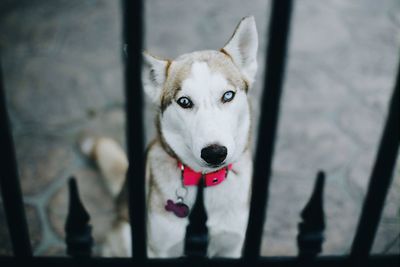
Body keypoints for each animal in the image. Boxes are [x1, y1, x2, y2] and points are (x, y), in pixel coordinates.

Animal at [80, 15, 260, 258]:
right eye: (184, 101)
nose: (215, 153)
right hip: (126, 235)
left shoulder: (231, 247)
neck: (203, 184)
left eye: (228, 95)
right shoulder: (159, 250)